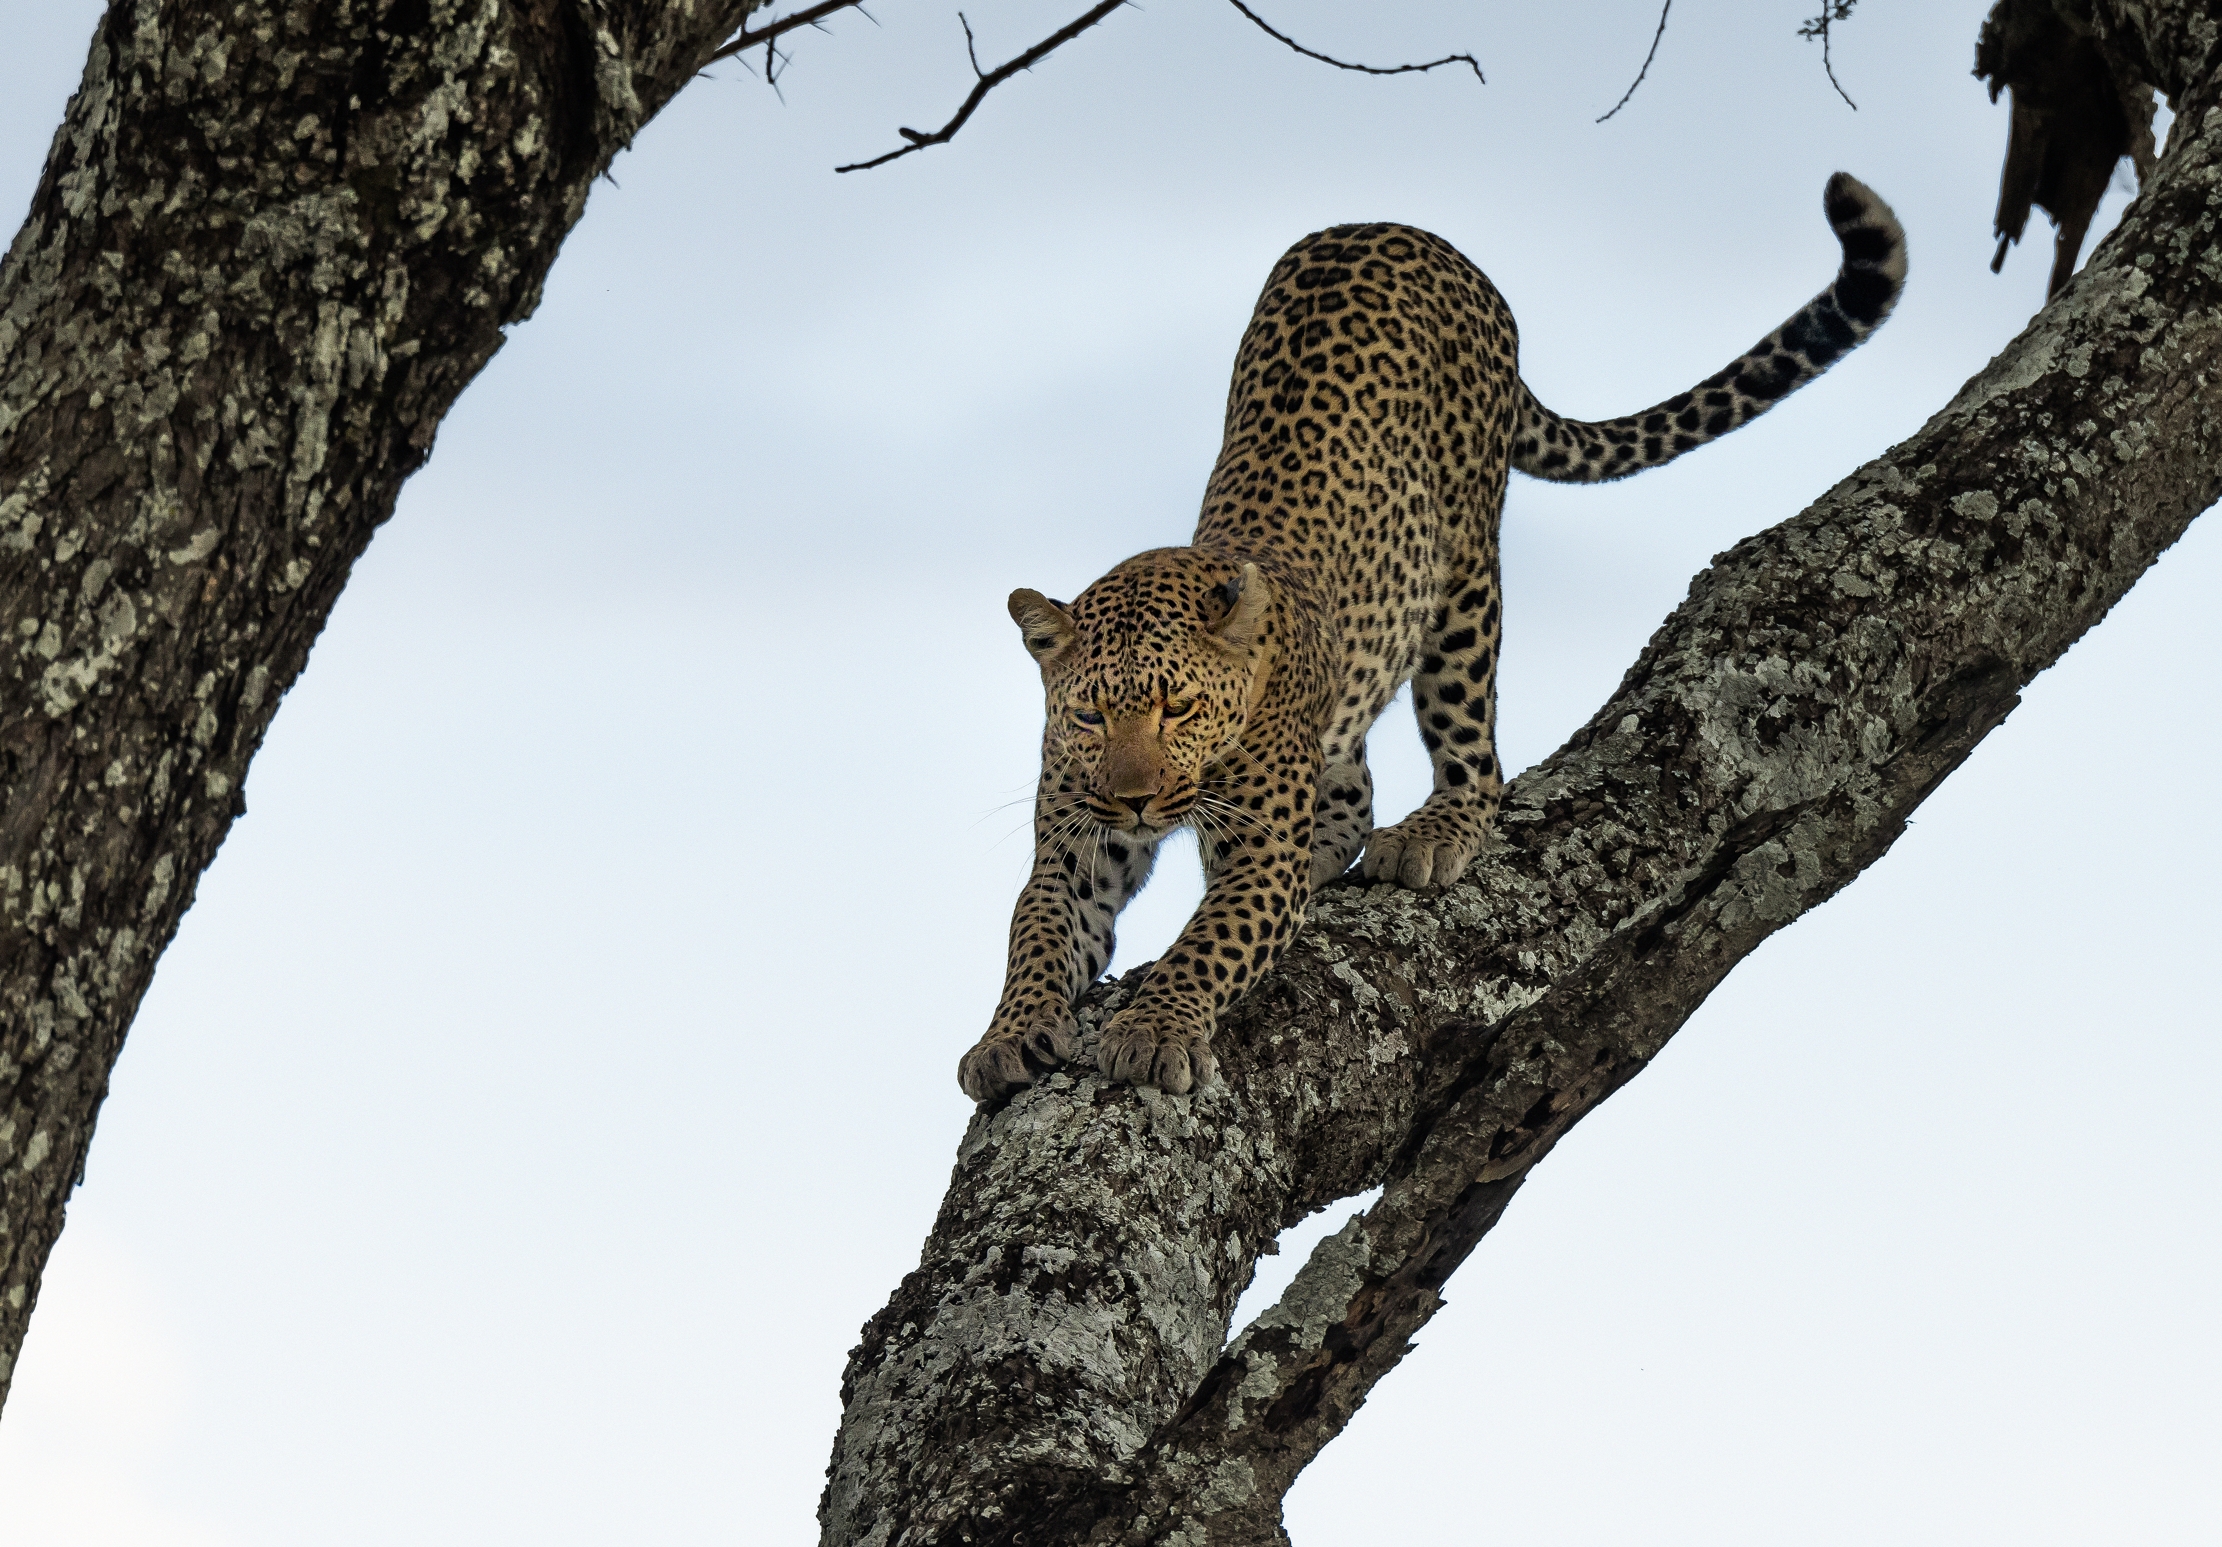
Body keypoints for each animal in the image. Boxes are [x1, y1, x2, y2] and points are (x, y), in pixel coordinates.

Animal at [959, 173, 1906, 1103]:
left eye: (1179, 706)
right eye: (1089, 715)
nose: (1136, 800)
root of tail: (1416, 234)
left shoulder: (1257, 854)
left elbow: (1209, 942)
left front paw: (1154, 1030)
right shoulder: (1076, 845)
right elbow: (1034, 930)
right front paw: (1006, 1037)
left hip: (1464, 584)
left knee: (1477, 758)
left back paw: (1434, 831)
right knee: (1354, 783)